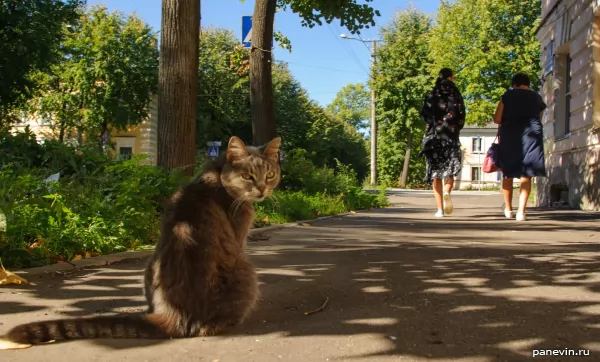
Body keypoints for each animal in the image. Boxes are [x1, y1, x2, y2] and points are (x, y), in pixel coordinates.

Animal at [0, 135, 282, 348]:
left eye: (269, 174)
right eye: (247, 176)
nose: (262, 189)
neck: (218, 174)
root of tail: (172, 314)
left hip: (149, 264)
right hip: (246, 271)